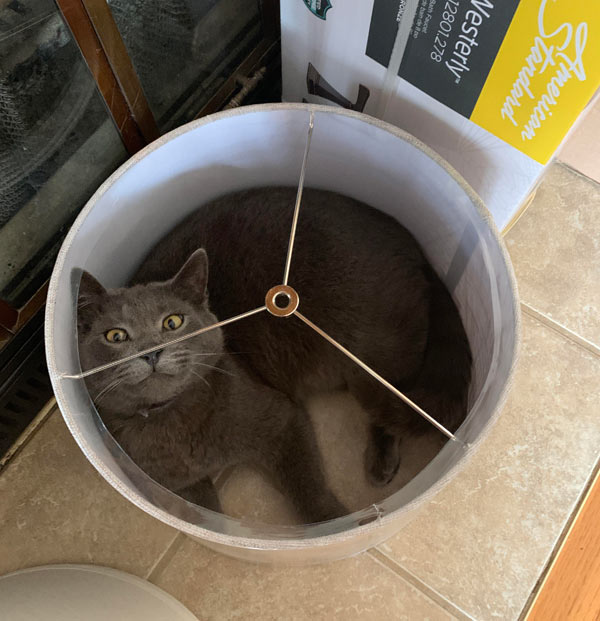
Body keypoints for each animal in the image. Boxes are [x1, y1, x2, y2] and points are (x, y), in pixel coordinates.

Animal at [77, 186, 472, 520]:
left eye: (172, 322)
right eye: (116, 335)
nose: (151, 352)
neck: (172, 422)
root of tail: (412, 244)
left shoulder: (279, 419)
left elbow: (308, 488)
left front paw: (328, 527)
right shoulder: (178, 485)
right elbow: (203, 512)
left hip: (372, 356)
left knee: (394, 402)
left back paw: (381, 464)